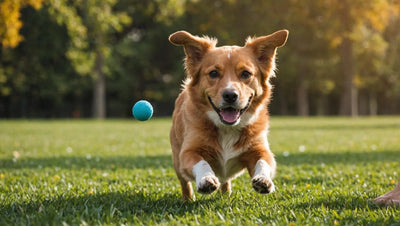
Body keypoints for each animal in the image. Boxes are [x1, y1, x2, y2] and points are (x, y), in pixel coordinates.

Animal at [168, 29, 288, 200]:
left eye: (246, 73)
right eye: (213, 73)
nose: (230, 95)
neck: (227, 128)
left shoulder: (259, 149)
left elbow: (264, 162)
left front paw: (263, 179)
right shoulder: (188, 152)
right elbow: (201, 162)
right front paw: (206, 179)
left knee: (226, 181)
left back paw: (226, 195)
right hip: (177, 160)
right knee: (185, 184)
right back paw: (188, 199)